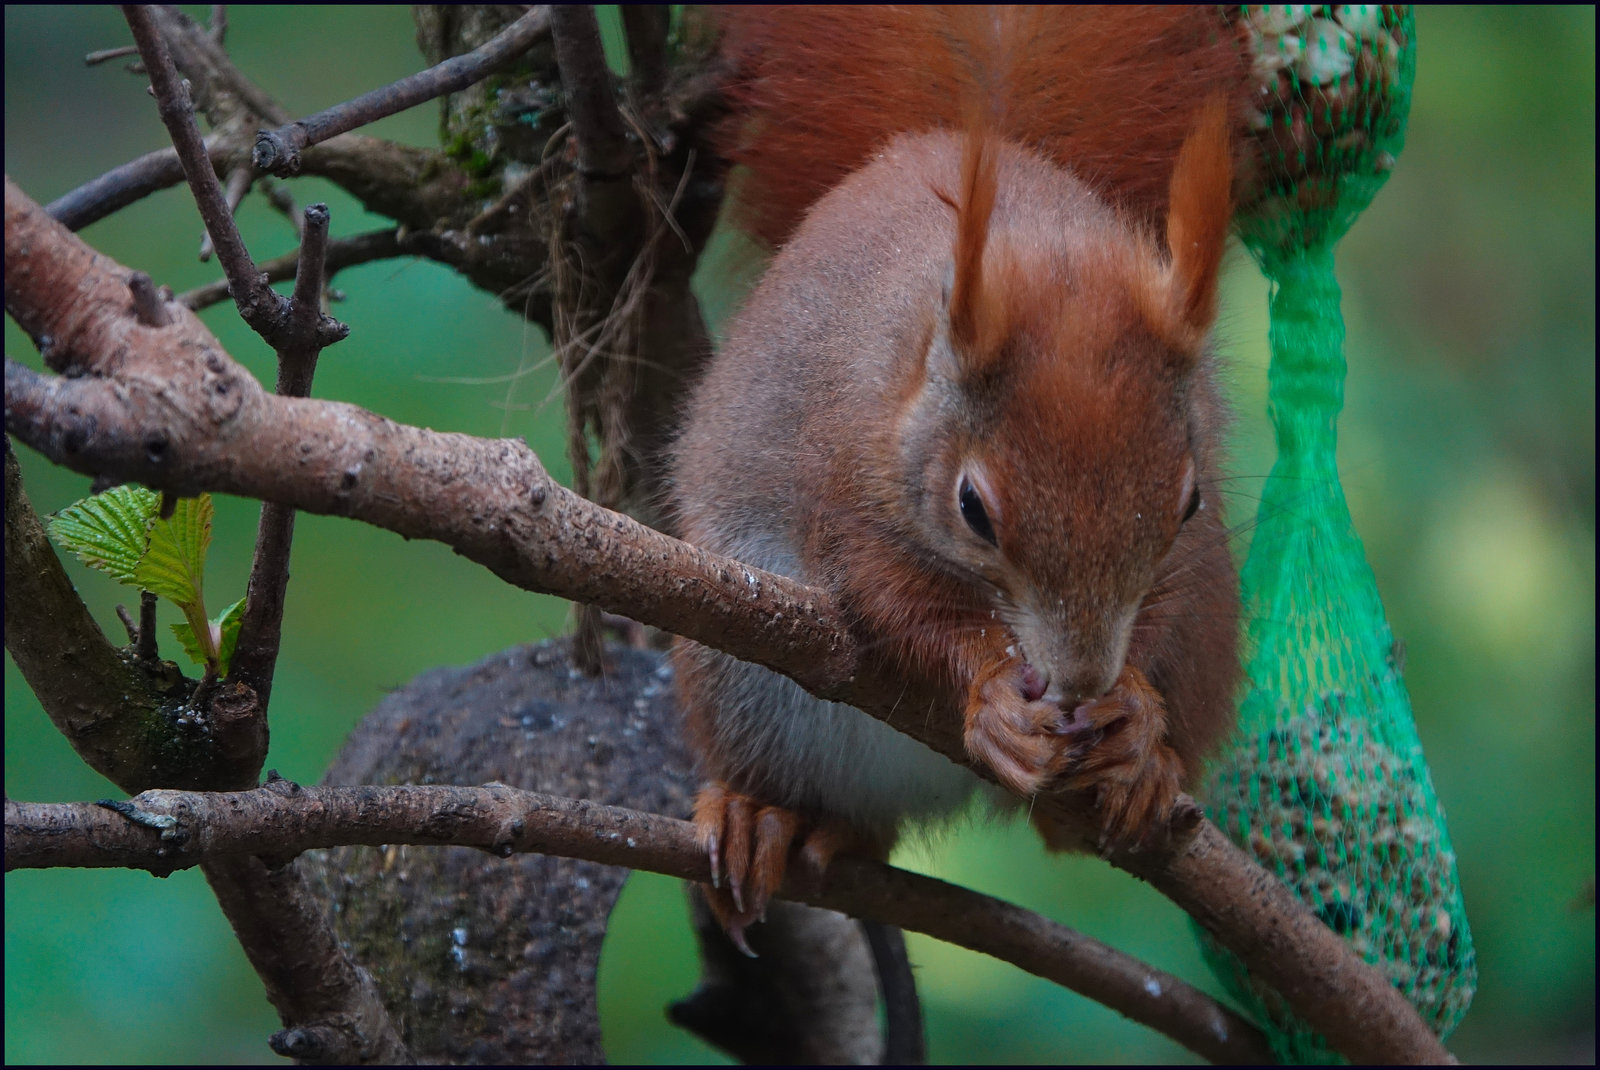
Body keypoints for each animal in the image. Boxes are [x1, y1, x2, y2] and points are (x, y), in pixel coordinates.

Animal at [668, 8, 1254, 940]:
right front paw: (992, 692)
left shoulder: (1185, 563)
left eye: (1190, 501)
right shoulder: (845, 482)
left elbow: (1156, 610)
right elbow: (892, 600)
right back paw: (771, 816)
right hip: (745, 679)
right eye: (973, 508)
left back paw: (1138, 775)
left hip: (1210, 631)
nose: (1080, 681)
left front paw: (1132, 713)